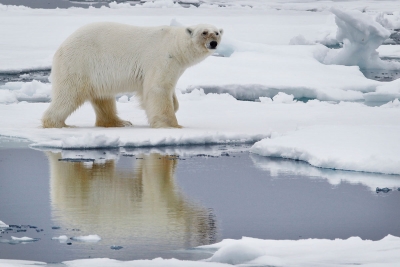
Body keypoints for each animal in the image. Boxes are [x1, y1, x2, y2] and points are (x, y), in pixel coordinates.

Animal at [42, 22, 223, 129]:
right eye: (204, 32)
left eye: (217, 33)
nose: (213, 43)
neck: (175, 45)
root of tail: (62, 46)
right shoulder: (162, 59)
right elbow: (157, 89)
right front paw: (172, 125)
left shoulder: (176, 66)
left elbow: (168, 90)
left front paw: (174, 106)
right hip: (79, 63)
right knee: (69, 94)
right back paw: (57, 124)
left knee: (103, 97)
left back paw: (118, 122)